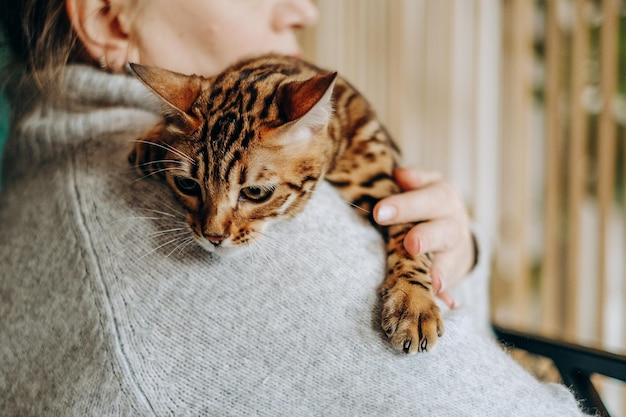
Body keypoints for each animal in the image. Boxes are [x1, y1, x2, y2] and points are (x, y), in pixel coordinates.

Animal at [127, 53, 442, 352]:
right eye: (187, 185)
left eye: (256, 192)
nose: (213, 237)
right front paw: (154, 139)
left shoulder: (384, 186)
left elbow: (411, 238)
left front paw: (414, 303)